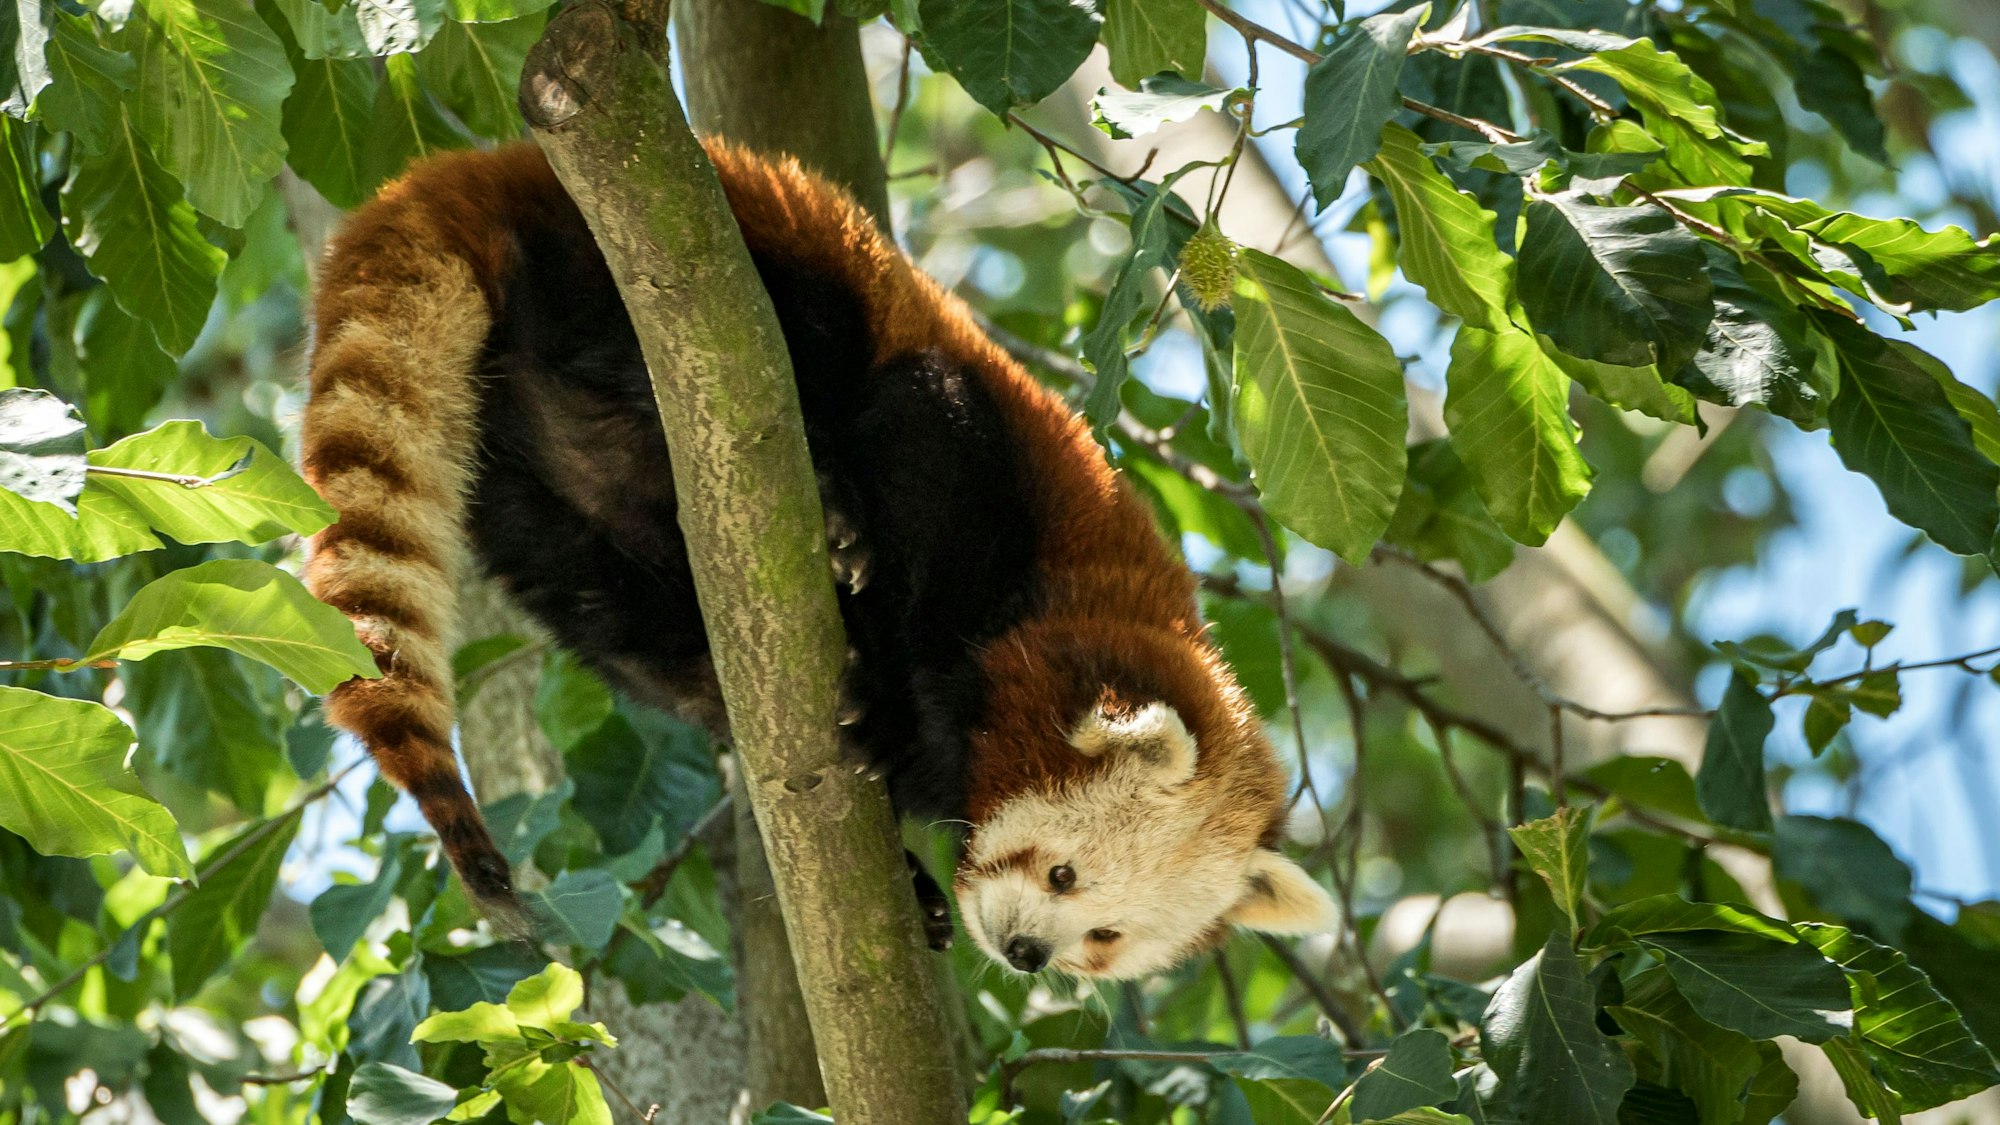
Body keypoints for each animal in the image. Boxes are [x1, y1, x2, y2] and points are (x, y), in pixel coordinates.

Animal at [299, 138, 1336, 979]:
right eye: (1064, 871)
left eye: (1104, 937)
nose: (1026, 953)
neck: (1079, 612)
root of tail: (488, 166)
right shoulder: (990, 480)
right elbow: (925, 452)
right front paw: (887, 702)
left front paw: (914, 874)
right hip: (689, 257)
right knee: (765, 342)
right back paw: (826, 505)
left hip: (523, 483)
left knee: (615, 609)